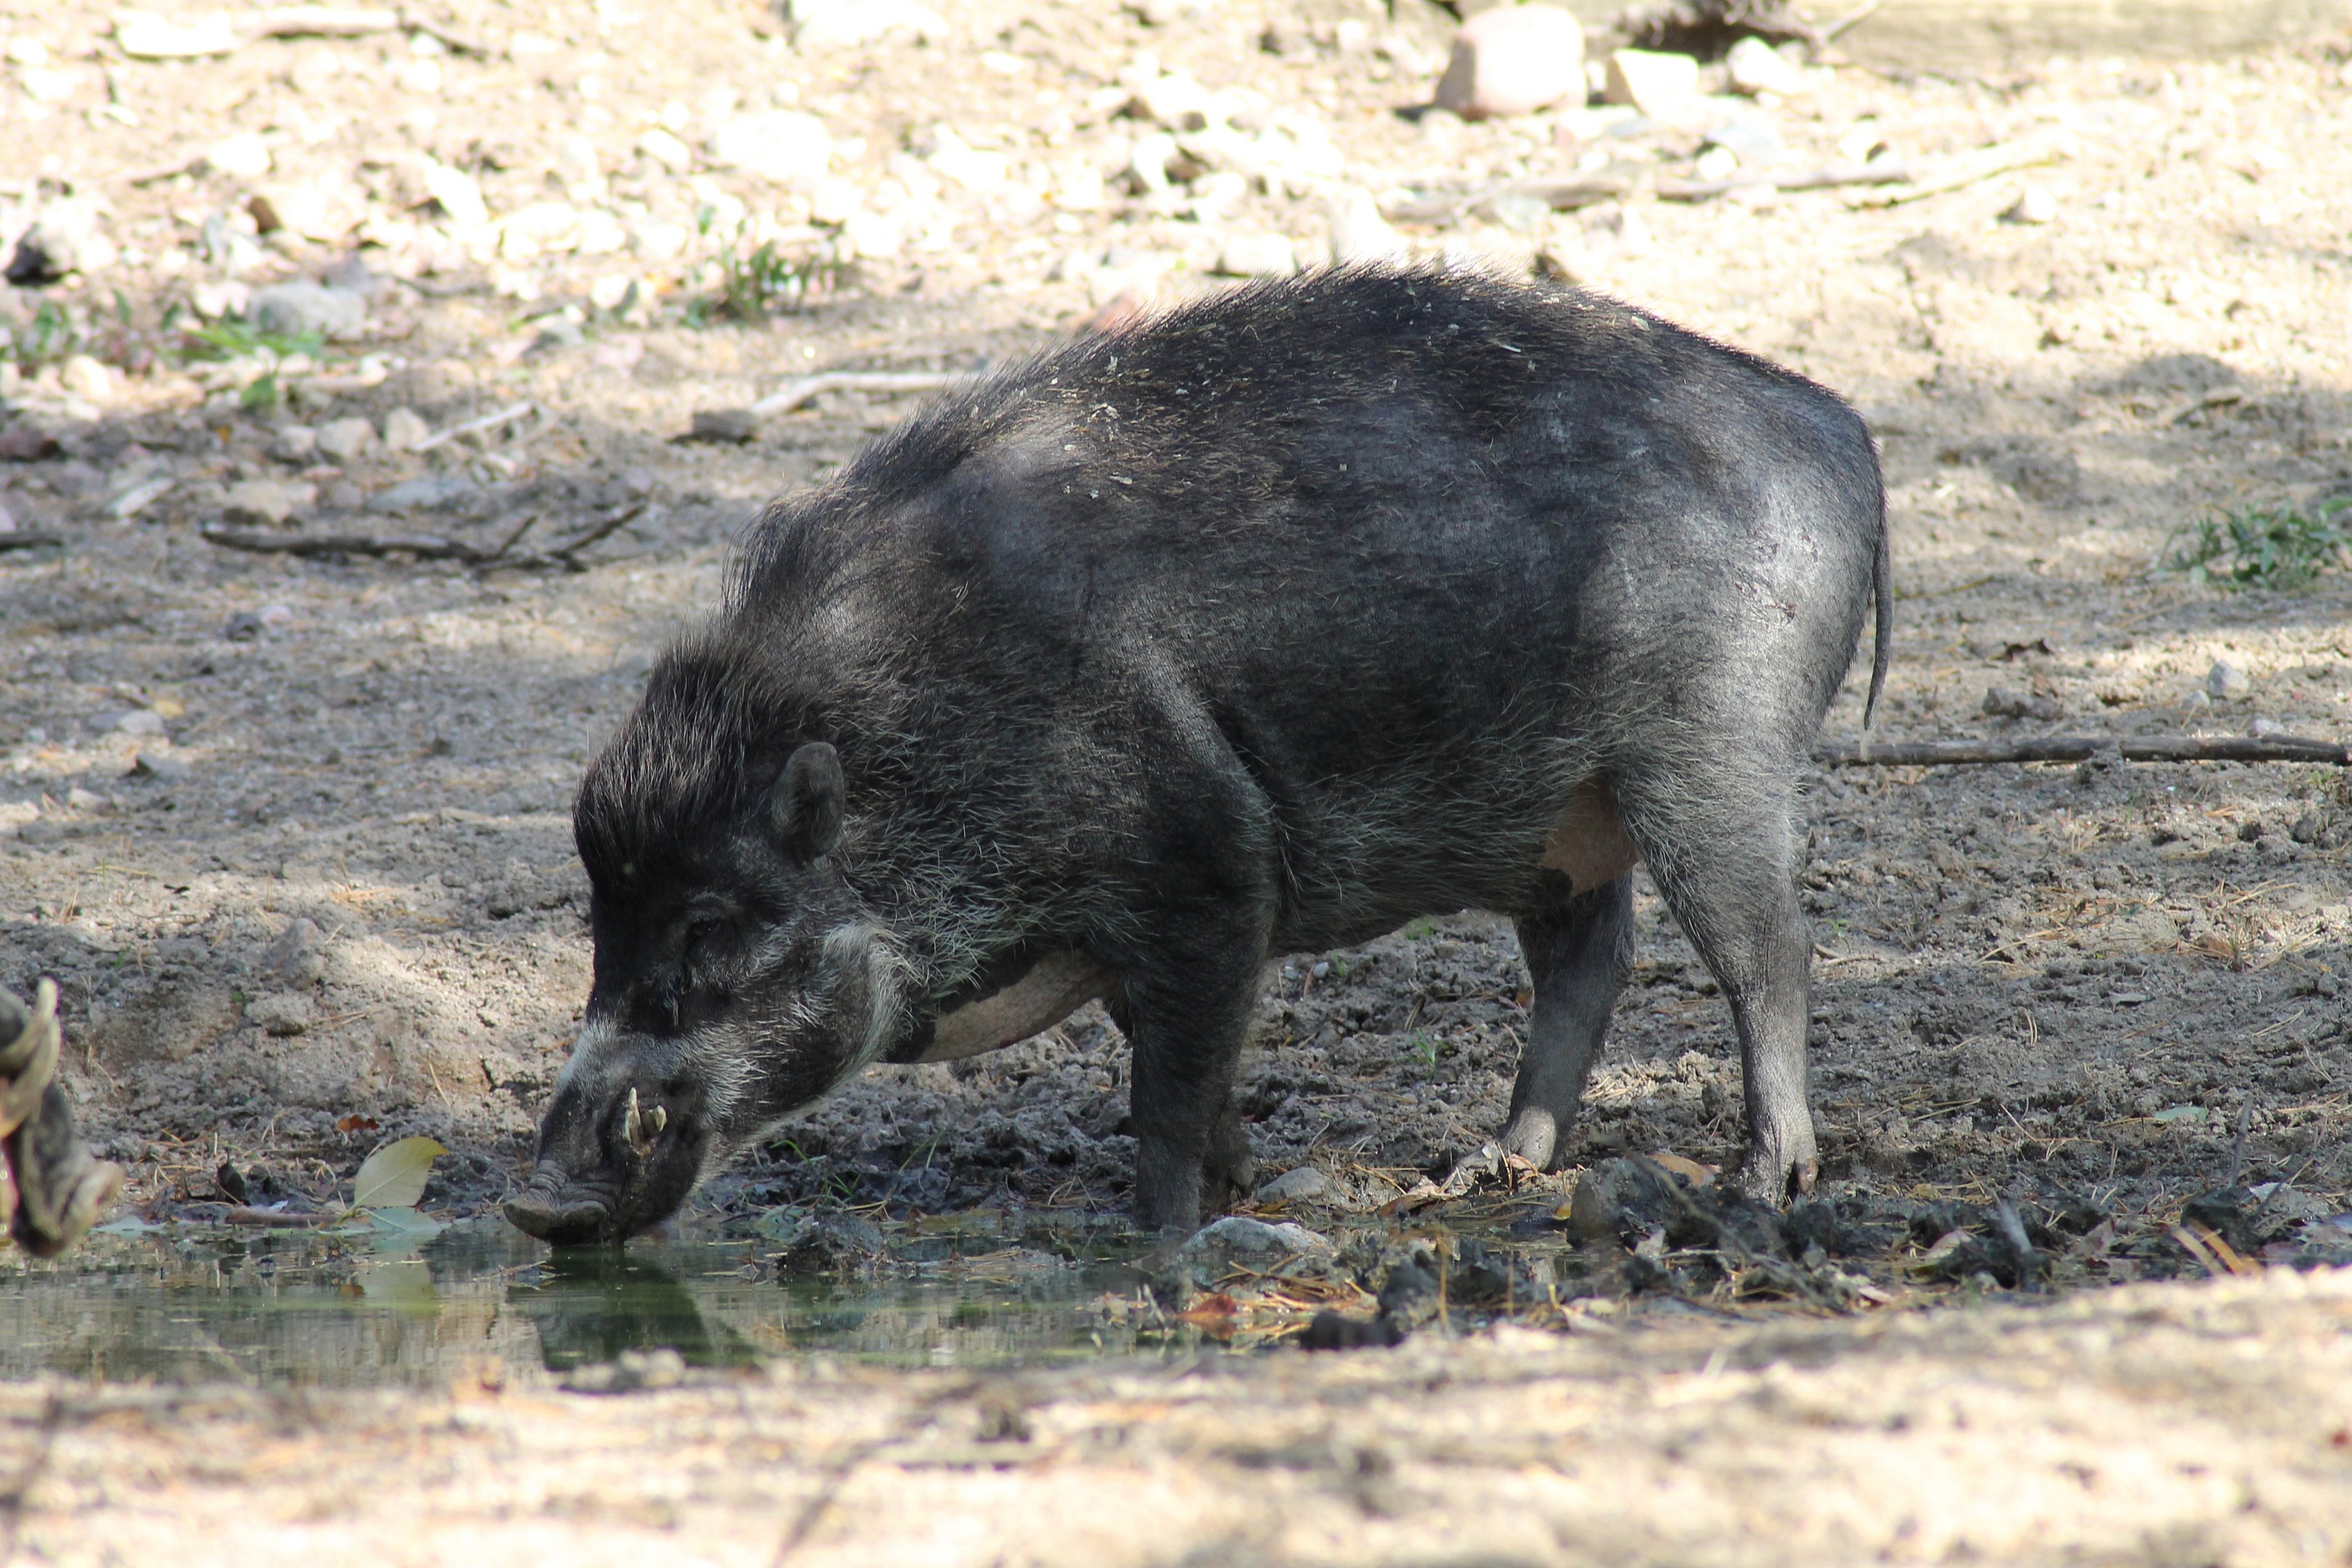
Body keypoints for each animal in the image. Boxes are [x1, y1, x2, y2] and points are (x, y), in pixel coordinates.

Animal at [505, 266, 1890, 1245]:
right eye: (602, 922)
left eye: (709, 928)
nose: (540, 1201)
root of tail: (1836, 426)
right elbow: (1178, 1065)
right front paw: (1236, 1187)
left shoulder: (1212, 865)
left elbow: (1165, 1090)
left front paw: (1162, 1236)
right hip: (1560, 823)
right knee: (1591, 959)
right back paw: (1481, 1168)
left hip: (1712, 753)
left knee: (1767, 953)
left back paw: (1761, 1183)